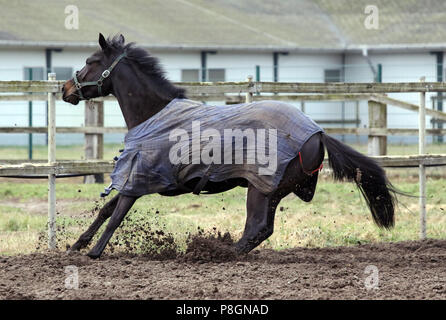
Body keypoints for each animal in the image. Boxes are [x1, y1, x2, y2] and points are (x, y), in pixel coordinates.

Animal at [61, 32, 398, 258]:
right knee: (262, 229)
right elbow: (106, 210)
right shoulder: (134, 178)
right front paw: (77, 244)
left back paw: (220, 253)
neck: (153, 115)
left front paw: (95, 252)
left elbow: (116, 215)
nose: (66, 89)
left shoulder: (139, 179)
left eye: (91, 61)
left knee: (257, 227)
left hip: (262, 189)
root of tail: (318, 133)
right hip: (273, 191)